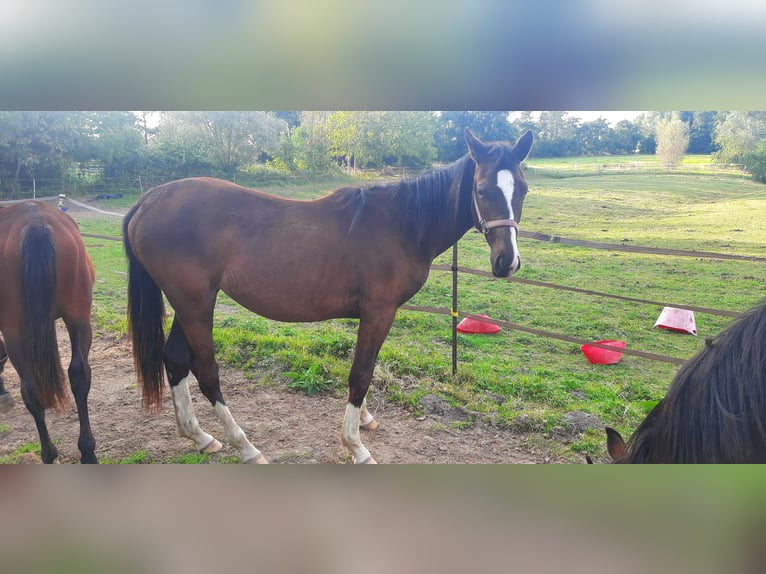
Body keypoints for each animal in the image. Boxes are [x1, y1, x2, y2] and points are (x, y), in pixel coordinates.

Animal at [0, 201, 97, 464]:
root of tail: (34, 223)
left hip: (15, 329)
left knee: (31, 387)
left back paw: (51, 453)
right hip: (77, 316)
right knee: (77, 375)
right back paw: (86, 451)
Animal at [124, 128, 536, 466]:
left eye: (523, 189)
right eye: (481, 190)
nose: (507, 262)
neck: (403, 225)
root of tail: (149, 201)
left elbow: (365, 370)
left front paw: (365, 421)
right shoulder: (379, 312)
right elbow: (361, 374)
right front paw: (356, 446)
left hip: (191, 303)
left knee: (176, 360)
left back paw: (200, 437)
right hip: (195, 304)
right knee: (207, 373)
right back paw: (246, 447)